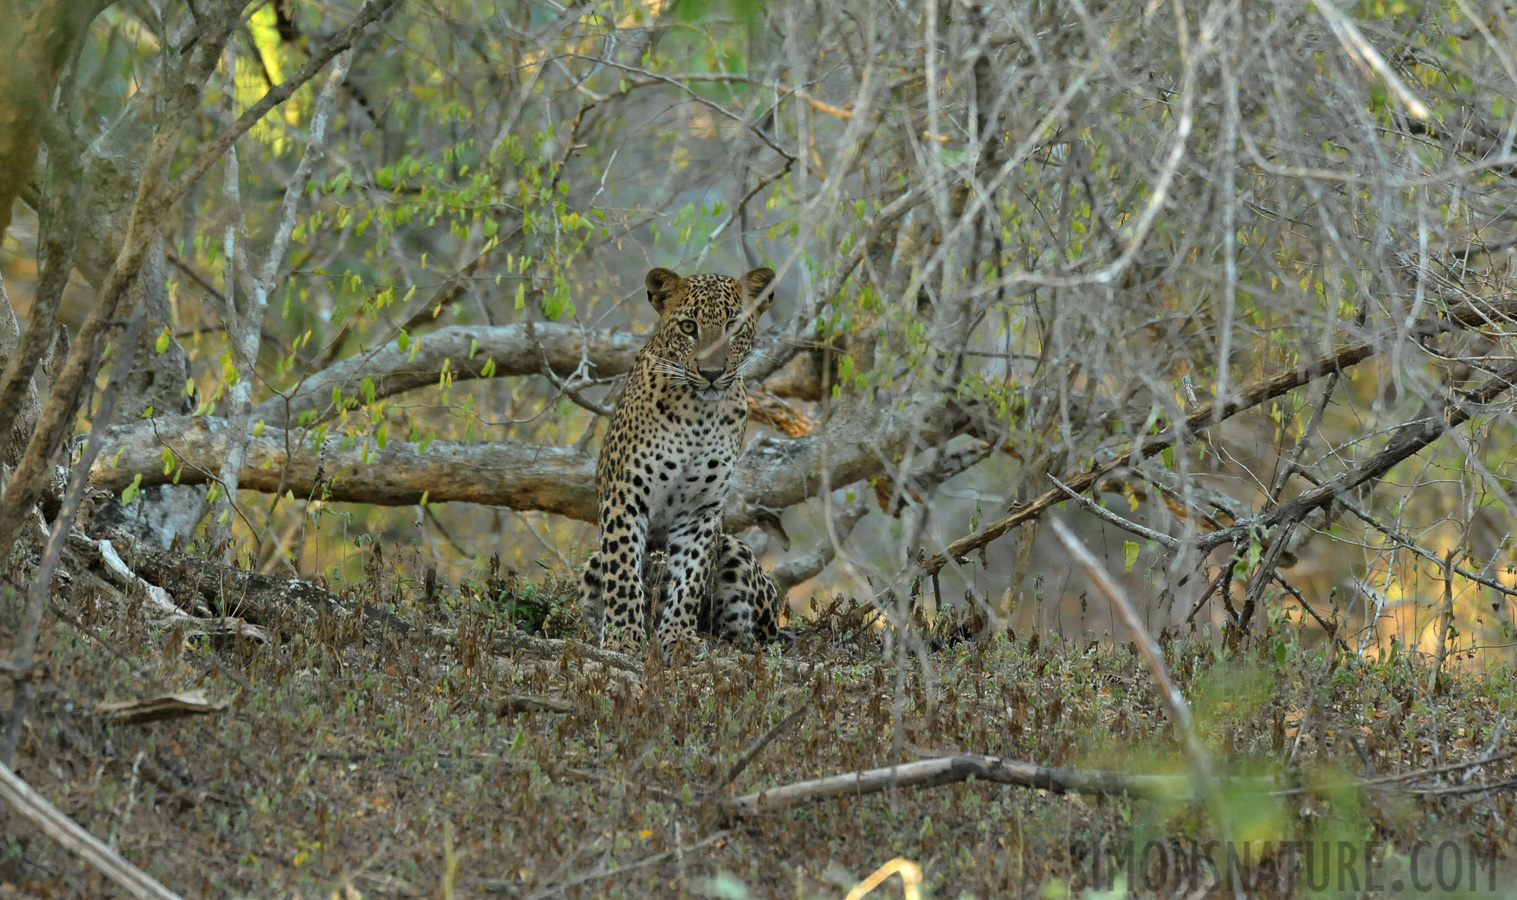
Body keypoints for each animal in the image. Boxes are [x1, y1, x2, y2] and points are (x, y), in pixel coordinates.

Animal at [579, 262, 788, 649]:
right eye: (689, 327)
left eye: (733, 326)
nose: (712, 374)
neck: (699, 414)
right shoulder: (625, 495)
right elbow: (623, 571)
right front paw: (623, 637)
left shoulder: (701, 510)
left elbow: (690, 575)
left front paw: (678, 638)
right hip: (591, 565)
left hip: (736, 550)